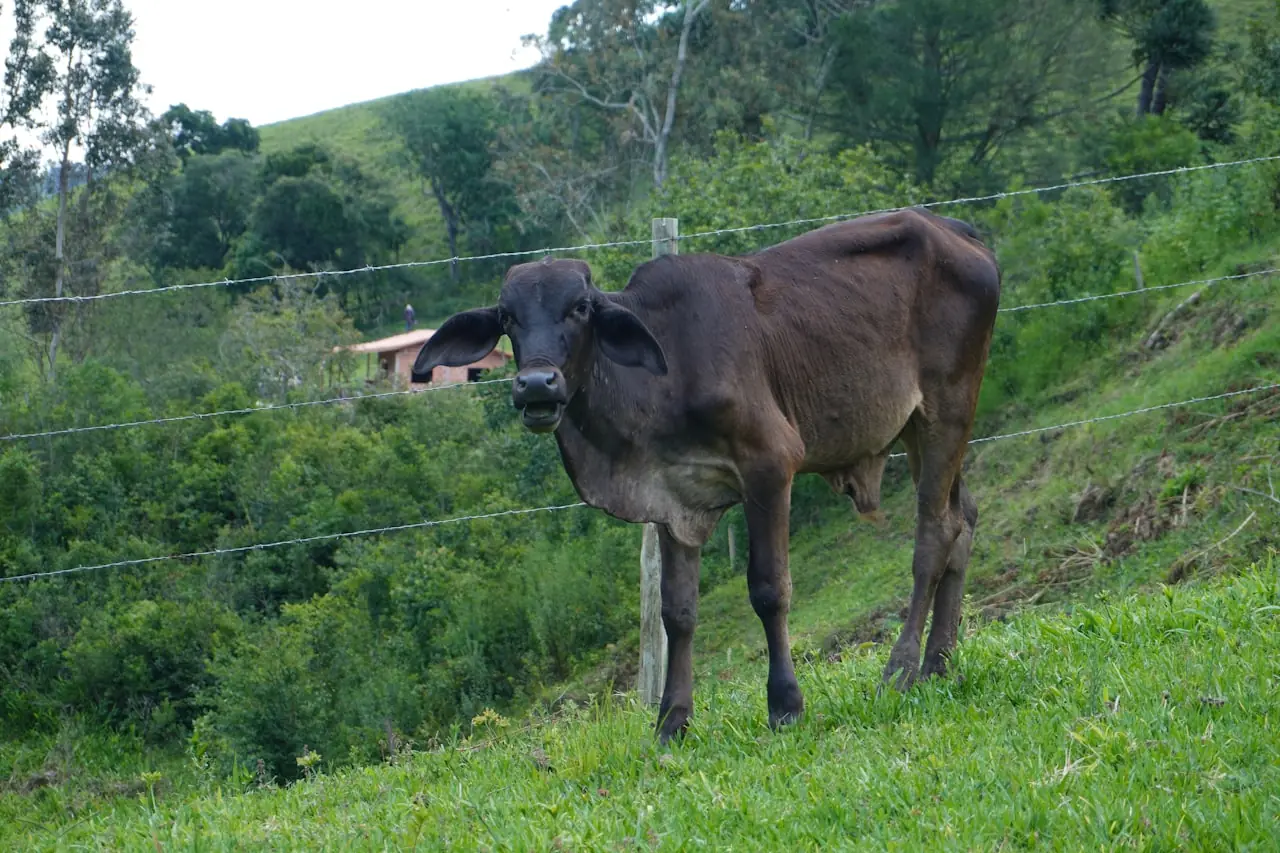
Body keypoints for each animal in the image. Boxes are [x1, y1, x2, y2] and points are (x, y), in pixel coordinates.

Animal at [412, 208, 1001, 743]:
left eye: (579, 308)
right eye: (507, 317)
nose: (536, 385)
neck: (663, 374)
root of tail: (955, 230)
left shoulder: (770, 465)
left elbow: (768, 589)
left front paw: (785, 705)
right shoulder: (672, 497)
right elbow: (677, 612)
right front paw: (672, 720)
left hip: (948, 406)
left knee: (934, 533)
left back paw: (900, 669)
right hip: (917, 427)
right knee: (963, 517)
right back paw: (939, 663)